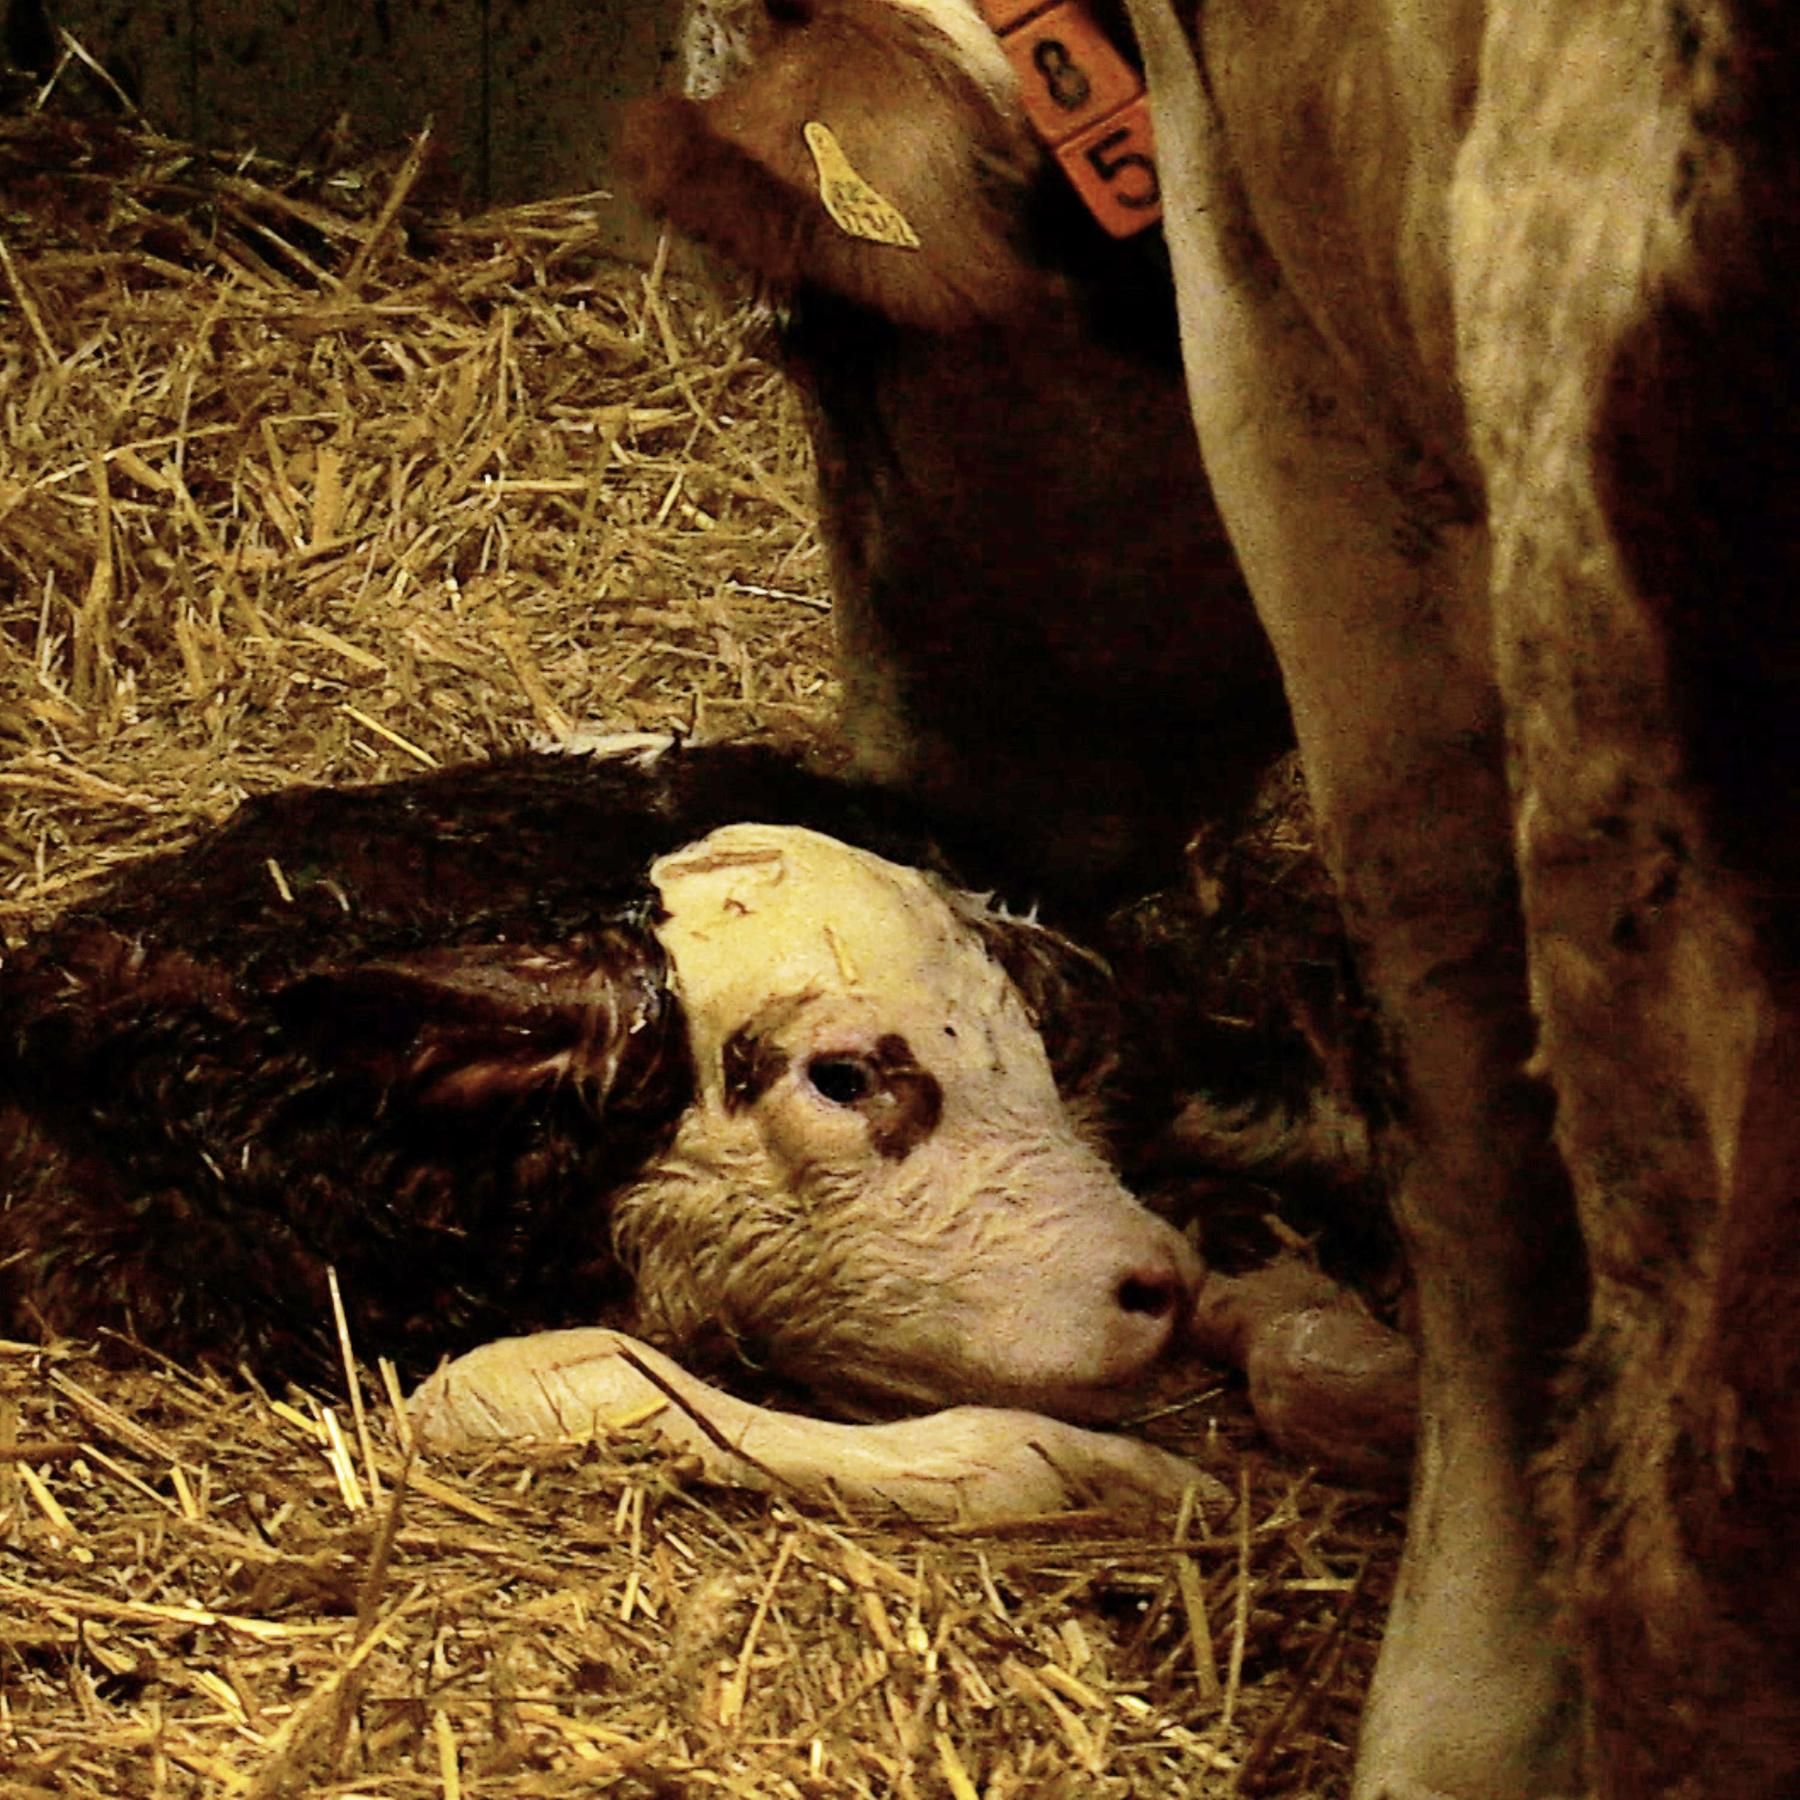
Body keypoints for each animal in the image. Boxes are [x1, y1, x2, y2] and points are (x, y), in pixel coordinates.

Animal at [621, 1, 1800, 1793]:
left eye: (828, 348)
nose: (905, 804)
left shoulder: (1284, 359)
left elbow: (1457, 1074)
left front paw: (1456, 1701)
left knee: (1682, 1560)